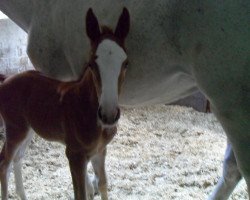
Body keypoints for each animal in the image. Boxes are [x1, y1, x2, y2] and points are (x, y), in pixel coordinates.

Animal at [0, 7, 129, 200]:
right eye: (91, 64)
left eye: (126, 62)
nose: (109, 115)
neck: (84, 105)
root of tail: (6, 80)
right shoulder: (74, 155)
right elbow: (81, 193)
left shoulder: (100, 151)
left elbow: (103, 185)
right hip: (15, 129)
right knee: (4, 163)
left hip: (28, 130)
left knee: (17, 158)